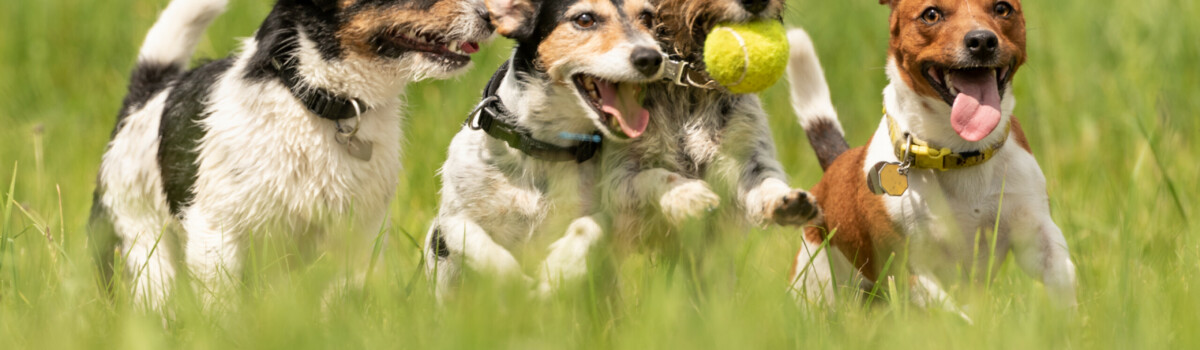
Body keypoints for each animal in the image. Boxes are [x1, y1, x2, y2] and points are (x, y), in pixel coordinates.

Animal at [87, 0, 492, 306]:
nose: (489, 16)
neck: (318, 103)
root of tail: (143, 100)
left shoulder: (357, 237)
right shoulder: (216, 234)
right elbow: (221, 306)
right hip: (142, 247)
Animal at [424, 0, 667, 298]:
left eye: (647, 17)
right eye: (584, 19)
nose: (651, 58)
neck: (543, 147)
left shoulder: (611, 209)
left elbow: (589, 227)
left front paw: (557, 271)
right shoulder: (452, 220)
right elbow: (480, 246)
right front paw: (516, 284)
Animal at [787, 0, 1080, 314]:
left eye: (1003, 8)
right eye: (931, 14)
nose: (982, 41)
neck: (961, 152)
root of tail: (836, 164)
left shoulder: (1035, 233)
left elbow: (1062, 275)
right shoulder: (908, 269)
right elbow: (953, 315)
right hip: (816, 281)